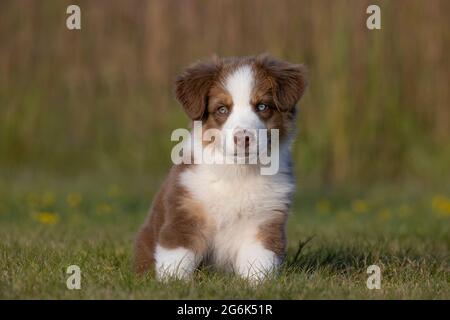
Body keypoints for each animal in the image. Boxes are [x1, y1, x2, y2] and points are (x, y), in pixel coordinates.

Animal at [134, 55, 308, 282]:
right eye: (222, 109)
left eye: (262, 106)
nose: (243, 138)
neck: (238, 171)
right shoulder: (184, 214)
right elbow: (176, 258)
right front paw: (174, 284)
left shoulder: (265, 220)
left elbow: (259, 262)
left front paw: (256, 284)